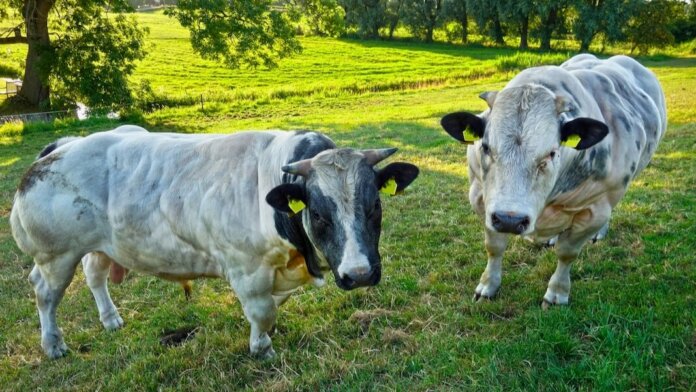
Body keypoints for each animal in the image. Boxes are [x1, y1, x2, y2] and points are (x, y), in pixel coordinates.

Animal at [10, 125, 418, 358]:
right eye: (318, 213)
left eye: (375, 204)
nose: (359, 274)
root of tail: (60, 148)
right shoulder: (247, 269)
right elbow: (262, 311)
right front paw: (262, 348)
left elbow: (272, 307)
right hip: (54, 256)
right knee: (44, 294)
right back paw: (53, 344)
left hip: (99, 245)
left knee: (94, 274)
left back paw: (110, 319)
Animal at [444, 54, 668, 306]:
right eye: (485, 146)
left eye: (551, 153)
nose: (511, 220)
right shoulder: (482, 199)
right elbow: (494, 247)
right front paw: (488, 286)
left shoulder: (596, 208)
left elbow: (567, 253)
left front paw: (557, 292)